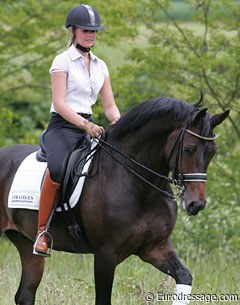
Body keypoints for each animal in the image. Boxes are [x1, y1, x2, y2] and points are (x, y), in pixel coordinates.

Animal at [0, 96, 229, 302]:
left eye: (212, 152)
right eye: (188, 149)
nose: (196, 204)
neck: (137, 185)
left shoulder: (156, 247)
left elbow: (184, 276)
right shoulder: (105, 255)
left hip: (27, 244)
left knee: (25, 295)